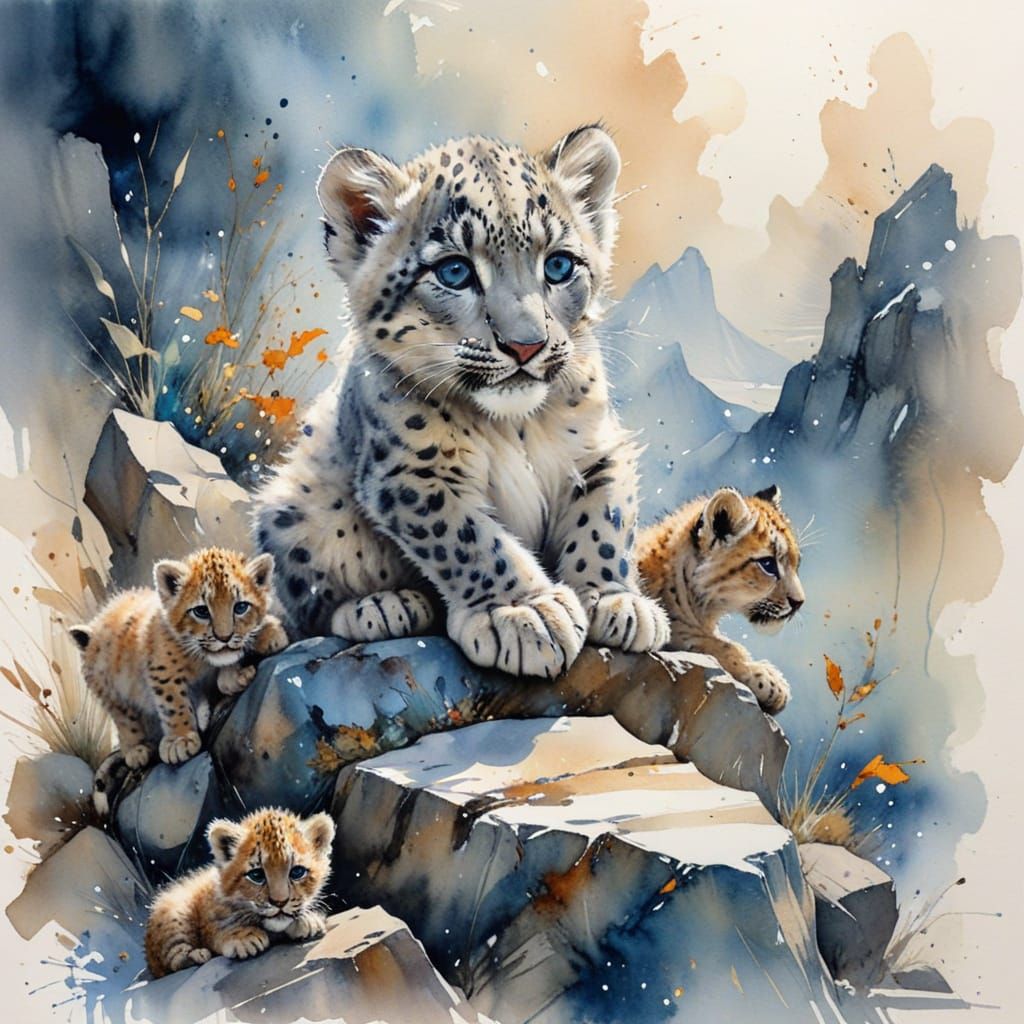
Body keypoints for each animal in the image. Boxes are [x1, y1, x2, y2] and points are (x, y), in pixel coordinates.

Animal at [144, 808, 334, 977]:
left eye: (297, 872)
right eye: (256, 875)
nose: (279, 902)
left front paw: (308, 920)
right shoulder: (206, 918)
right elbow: (217, 929)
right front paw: (243, 937)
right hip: (173, 911)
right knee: (171, 961)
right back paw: (196, 955)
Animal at [253, 125, 669, 678]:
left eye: (559, 265)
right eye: (454, 272)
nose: (526, 345)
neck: (516, 426)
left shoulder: (597, 451)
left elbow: (604, 521)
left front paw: (613, 599)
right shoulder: (411, 472)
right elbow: (469, 538)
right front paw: (525, 613)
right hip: (294, 510)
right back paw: (381, 606)